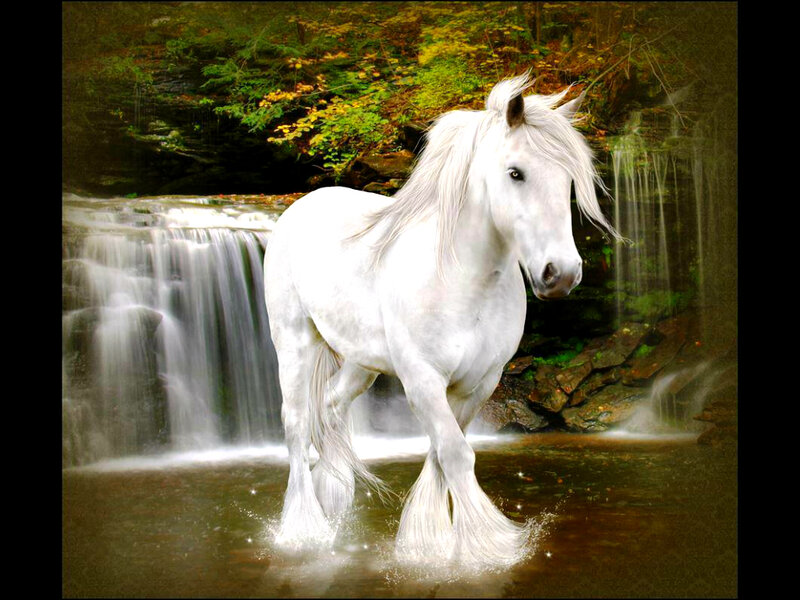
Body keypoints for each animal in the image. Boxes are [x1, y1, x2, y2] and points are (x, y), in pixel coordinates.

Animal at [263, 73, 619, 568]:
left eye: (568, 179)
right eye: (515, 172)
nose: (561, 274)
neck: (462, 278)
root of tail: (300, 205)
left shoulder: (479, 383)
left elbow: (442, 452)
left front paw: (427, 542)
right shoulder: (423, 378)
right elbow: (454, 453)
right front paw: (487, 546)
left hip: (360, 362)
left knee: (331, 408)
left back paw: (334, 502)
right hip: (295, 343)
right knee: (296, 424)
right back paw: (305, 530)